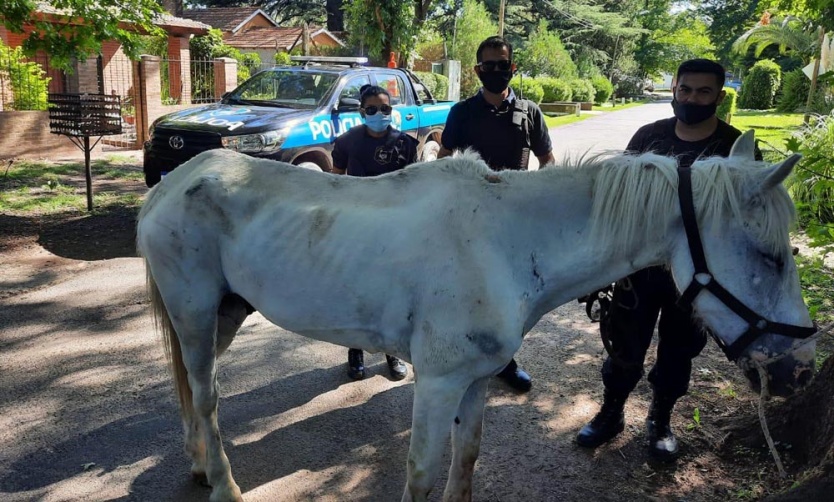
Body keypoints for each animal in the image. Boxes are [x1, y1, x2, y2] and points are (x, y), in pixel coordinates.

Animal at [138, 132, 812, 502]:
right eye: (772, 256)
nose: (801, 369)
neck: (504, 242)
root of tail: (172, 181)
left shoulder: (477, 380)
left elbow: (467, 458)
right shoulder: (437, 383)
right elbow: (421, 473)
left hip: (225, 314)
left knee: (191, 391)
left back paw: (198, 465)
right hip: (196, 313)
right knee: (206, 396)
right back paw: (224, 484)